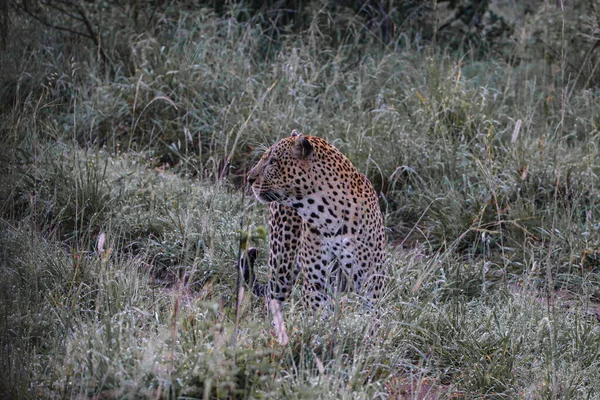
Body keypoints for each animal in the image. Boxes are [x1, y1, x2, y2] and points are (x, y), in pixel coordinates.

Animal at [241, 130, 386, 310]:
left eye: (273, 161)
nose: (249, 178)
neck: (329, 217)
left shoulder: (372, 283)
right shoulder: (316, 284)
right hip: (281, 265)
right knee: (272, 300)